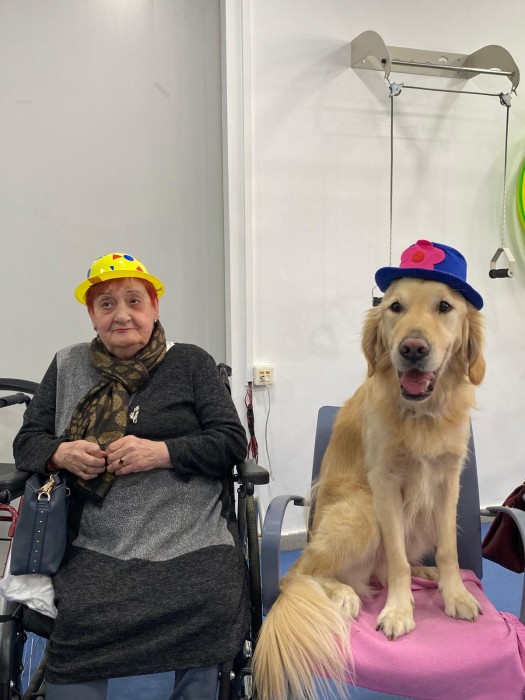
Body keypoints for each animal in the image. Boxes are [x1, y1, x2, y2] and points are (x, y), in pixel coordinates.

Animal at [253, 241, 485, 700]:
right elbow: (394, 559)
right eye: (395, 307)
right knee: (301, 573)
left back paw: (425, 572)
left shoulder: (449, 479)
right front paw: (399, 611)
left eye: (445, 307)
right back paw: (342, 593)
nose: (412, 348)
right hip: (361, 512)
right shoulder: (385, 484)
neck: (421, 414)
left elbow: (449, 549)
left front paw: (455, 593)